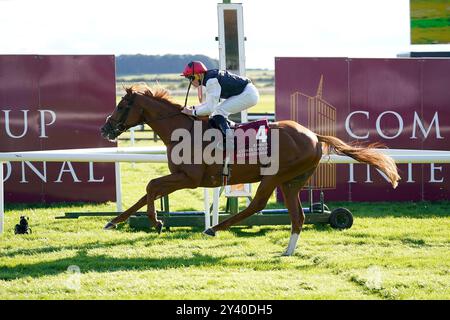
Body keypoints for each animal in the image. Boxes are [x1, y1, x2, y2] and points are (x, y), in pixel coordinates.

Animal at [100, 85, 400, 255]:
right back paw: (287, 251)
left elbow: (151, 186)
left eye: (122, 105)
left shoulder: (189, 178)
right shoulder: (181, 177)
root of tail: (314, 135)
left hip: (275, 176)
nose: (105, 128)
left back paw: (214, 228)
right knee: (298, 216)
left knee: (258, 204)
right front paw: (113, 221)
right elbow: (146, 192)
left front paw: (156, 222)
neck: (183, 130)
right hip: (292, 182)